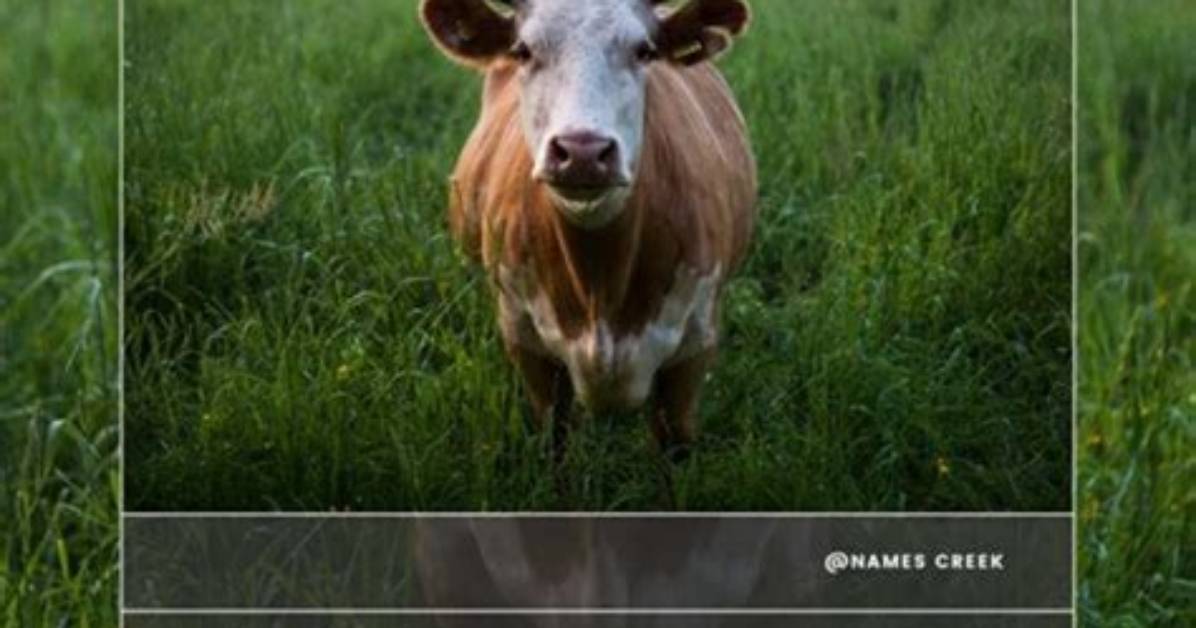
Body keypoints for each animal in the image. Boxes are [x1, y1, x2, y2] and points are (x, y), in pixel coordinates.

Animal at [420, 0, 757, 455]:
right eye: (524, 50)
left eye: (644, 51)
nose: (582, 151)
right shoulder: (526, 344)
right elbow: (554, 439)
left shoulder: (694, 349)